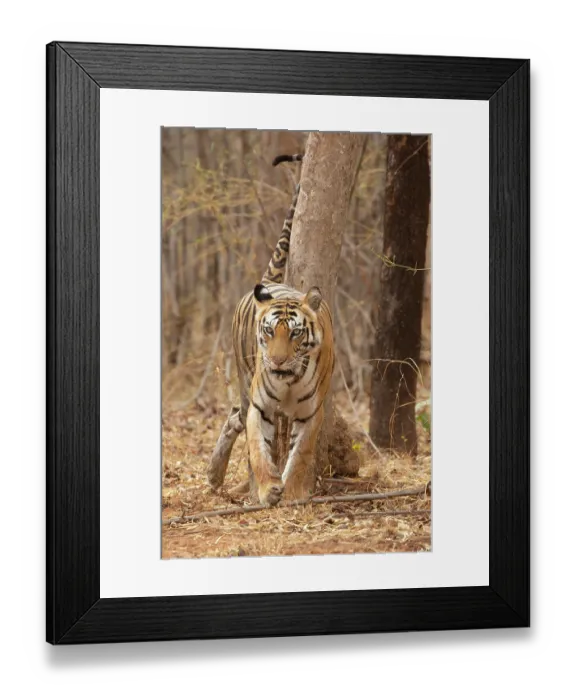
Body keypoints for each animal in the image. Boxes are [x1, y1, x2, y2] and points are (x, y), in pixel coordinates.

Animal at [208, 153, 335, 507]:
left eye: (294, 333)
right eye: (267, 331)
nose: (276, 361)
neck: (288, 379)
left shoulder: (311, 413)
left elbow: (300, 453)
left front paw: (291, 491)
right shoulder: (260, 407)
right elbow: (258, 448)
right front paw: (267, 489)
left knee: (233, 417)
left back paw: (215, 475)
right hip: (244, 379)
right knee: (235, 416)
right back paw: (215, 474)